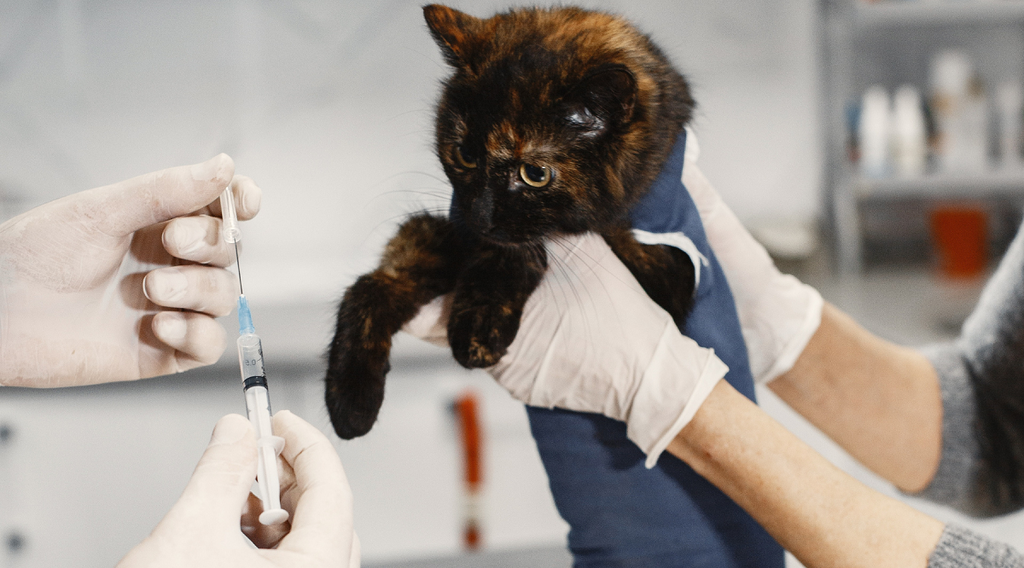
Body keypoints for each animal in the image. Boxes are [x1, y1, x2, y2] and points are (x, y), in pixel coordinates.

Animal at [325, 3, 696, 440]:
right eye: (464, 155)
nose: (480, 218)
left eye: (534, 174)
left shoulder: (668, 266)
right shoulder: (449, 231)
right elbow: (377, 280)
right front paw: (351, 399)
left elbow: (524, 246)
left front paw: (479, 322)